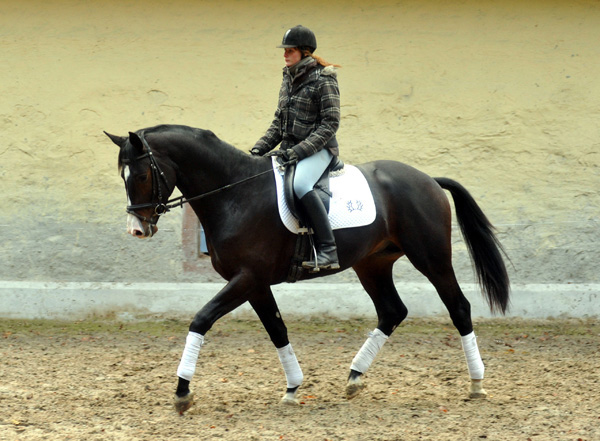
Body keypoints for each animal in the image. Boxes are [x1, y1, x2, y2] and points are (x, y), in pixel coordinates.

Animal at [105, 123, 508, 412]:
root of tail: (428, 180)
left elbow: (201, 319)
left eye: (141, 176)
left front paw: (182, 392)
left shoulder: (246, 278)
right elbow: (277, 330)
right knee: (393, 311)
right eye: (122, 176)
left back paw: (476, 384)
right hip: (372, 264)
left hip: (431, 259)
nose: (137, 229)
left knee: (459, 308)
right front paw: (292, 388)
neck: (234, 194)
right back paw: (354, 378)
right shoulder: (254, 283)